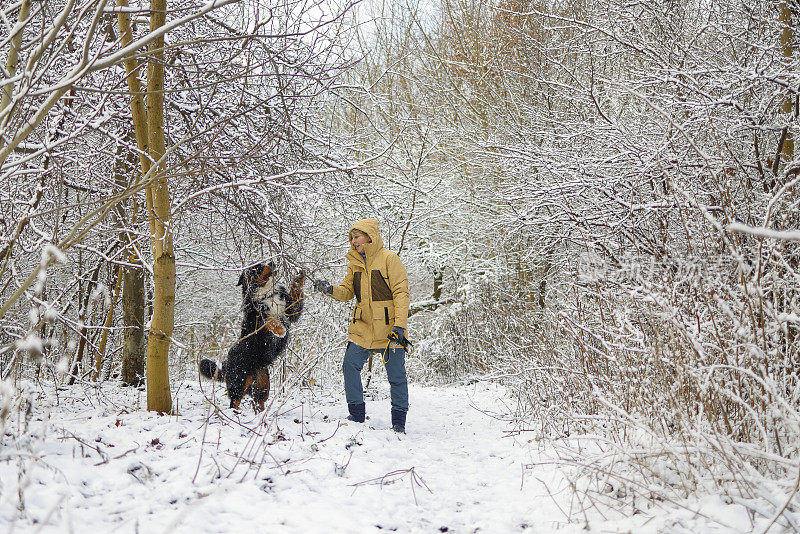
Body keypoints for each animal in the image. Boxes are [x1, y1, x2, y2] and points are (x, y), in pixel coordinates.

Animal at [198, 262, 304, 412]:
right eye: (257, 267)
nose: (272, 262)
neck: (267, 294)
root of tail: (227, 362)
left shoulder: (291, 311)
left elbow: (297, 295)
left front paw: (299, 278)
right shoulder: (255, 320)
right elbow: (269, 319)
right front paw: (279, 329)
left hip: (262, 385)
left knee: (258, 402)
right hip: (239, 382)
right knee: (234, 403)